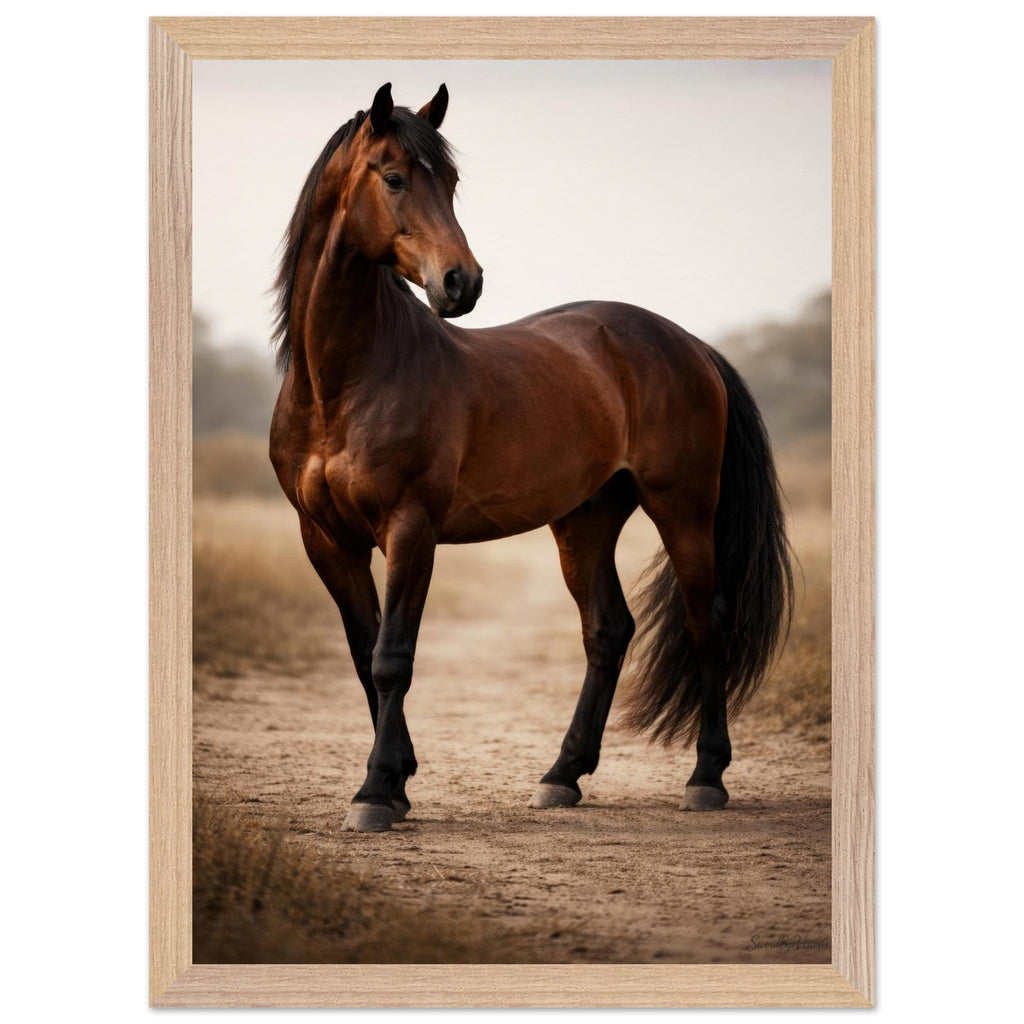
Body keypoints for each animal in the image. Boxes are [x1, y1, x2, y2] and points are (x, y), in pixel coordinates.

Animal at [269, 83, 793, 832]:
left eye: (452, 181)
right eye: (394, 177)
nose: (462, 283)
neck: (344, 382)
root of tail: (688, 342)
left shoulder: (410, 529)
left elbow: (393, 657)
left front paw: (374, 792)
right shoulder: (326, 540)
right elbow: (364, 653)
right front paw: (395, 782)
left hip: (683, 511)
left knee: (706, 623)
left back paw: (706, 777)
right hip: (585, 520)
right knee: (608, 631)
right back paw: (561, 775)